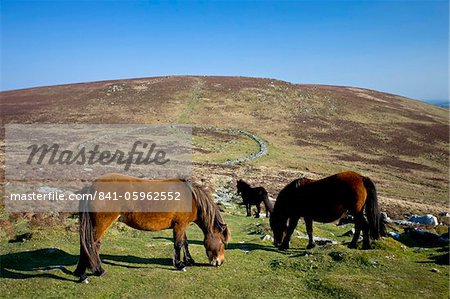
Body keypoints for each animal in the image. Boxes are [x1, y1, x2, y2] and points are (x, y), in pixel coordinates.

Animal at [73, 173, 230, 284]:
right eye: (223, 242)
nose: (220, 262)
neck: (191, 198)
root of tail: (91, 187)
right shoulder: (179, 225)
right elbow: (178, 244)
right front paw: (180, 265)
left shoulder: (182, 225)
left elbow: (185, 243)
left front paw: (189, 260)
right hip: (101, 224)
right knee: (90, 245)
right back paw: (87, 274)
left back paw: (87, 271)